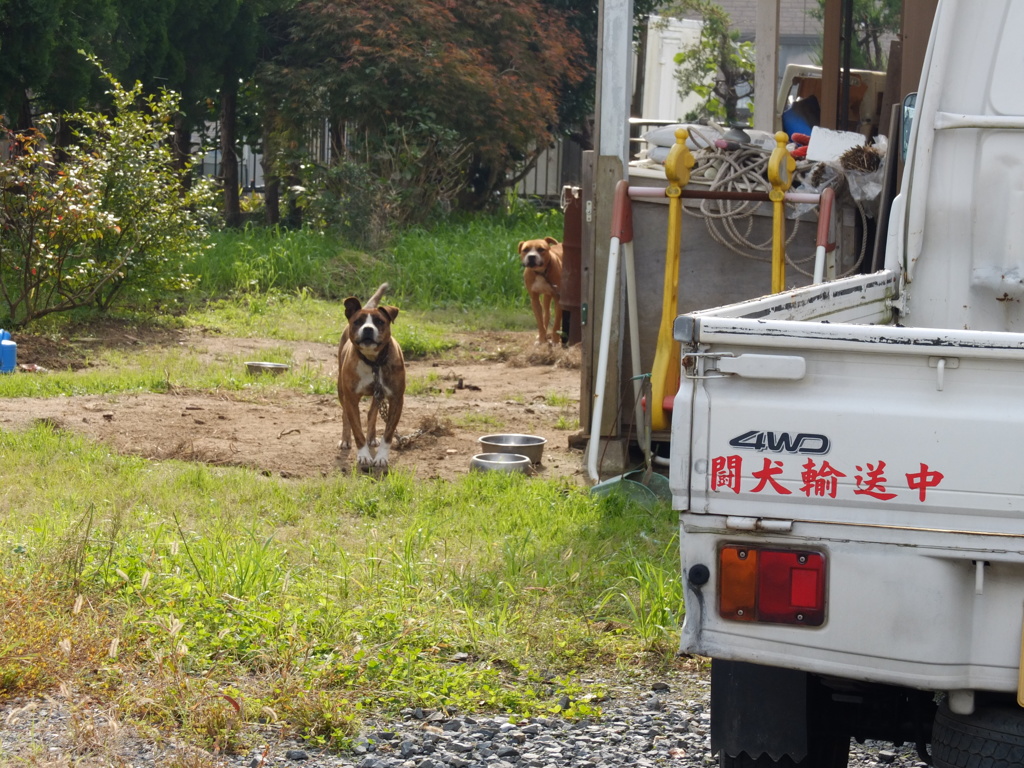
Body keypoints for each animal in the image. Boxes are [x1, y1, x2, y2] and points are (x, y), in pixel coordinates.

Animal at [333, 284, 401, 468]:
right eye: (358, 322)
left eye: (379, 321)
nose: (368, 329)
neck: (373, 362)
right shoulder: (351, 399)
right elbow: (357, 430)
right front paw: (363, 456)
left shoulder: (396, 399)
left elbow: (388, 434)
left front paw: (382, 457)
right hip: (341, 390)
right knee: (345, 415)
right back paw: (345, 440)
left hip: (379, 395)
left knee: (372, 414)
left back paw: (371, 438)